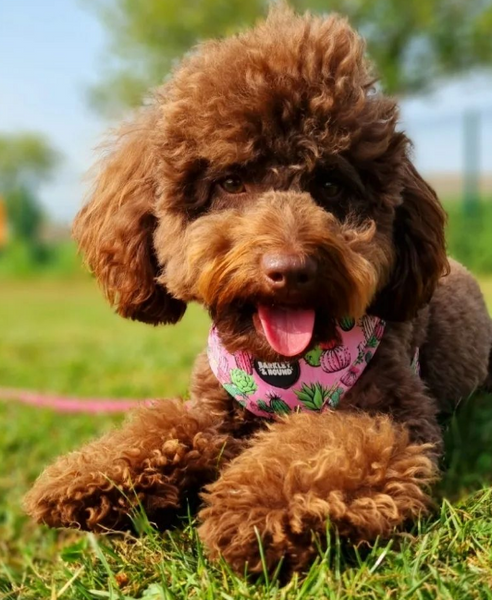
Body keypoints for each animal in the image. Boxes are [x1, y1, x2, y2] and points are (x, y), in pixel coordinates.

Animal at [24, 5, 492, 576]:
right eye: (231, 182)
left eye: (330, 185)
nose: (289, 269)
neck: (282, 368)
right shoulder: (213, 410)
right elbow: (166, 423)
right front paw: (92, 472)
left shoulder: (396, 418)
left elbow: (324, 444)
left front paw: (254, 508)